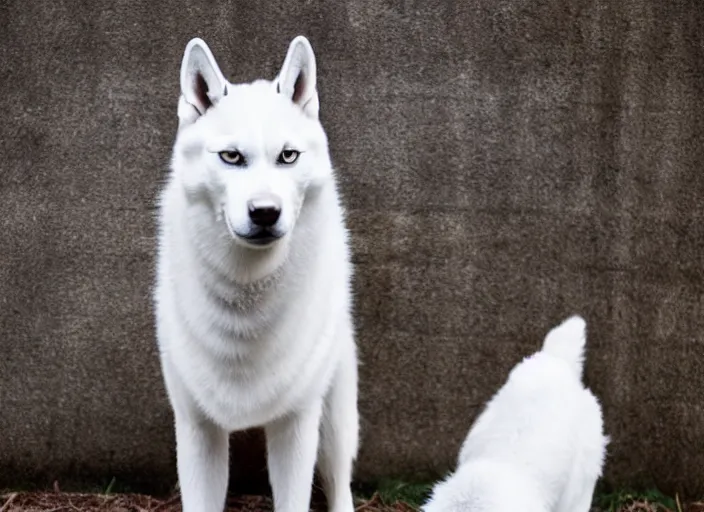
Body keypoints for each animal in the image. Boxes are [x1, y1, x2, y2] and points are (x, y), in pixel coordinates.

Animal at [153, 35, 358, 512]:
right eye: (231, 157)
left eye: (288, 156)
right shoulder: (196, 428)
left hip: (336, 413)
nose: (265, 212)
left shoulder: (298, 425)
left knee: (340, 477)